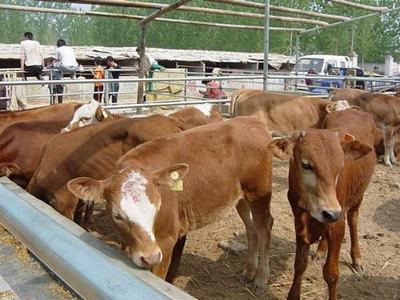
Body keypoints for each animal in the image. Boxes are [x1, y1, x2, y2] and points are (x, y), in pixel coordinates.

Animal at [69, 116, 276, 292]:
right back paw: (249, 270)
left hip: (259, 193)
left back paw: (261, 279)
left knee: (264, 226)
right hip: (241, 197)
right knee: (251, 227)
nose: (149, 257)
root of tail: (252, 121)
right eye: (117, 215)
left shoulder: (166, 241)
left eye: (157, 208)